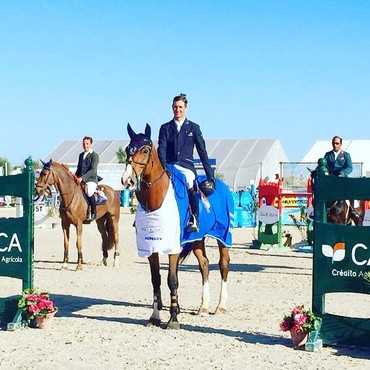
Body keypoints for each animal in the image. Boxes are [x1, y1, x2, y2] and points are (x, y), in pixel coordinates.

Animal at [120, 124, 233, 330]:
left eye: (145, 150)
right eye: (127, 149)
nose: (127, 180)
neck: (156, 199)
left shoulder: (173, 247)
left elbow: (172, 280)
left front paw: (173, 318)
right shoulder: (150, 246)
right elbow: (156, 280)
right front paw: (155, 316)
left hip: (223, 236)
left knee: (223, 265)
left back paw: (220, 306)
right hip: (197, 239)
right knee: (204, 265)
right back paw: (203, 307)